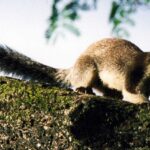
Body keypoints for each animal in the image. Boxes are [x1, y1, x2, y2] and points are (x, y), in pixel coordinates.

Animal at [0, 38, 149, 103]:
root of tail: (72, 69)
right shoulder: (134, 76)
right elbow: (133, 93)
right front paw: (145, 103)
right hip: (87, 67)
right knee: (83, 82)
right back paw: (84, 89)